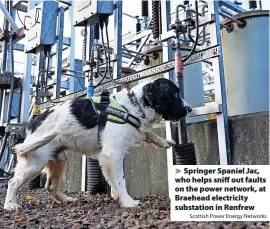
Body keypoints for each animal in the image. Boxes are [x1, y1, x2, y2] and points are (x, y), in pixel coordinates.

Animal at [3, 78, 191, 210]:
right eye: (175, 95)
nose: (189, 109)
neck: (132, 106)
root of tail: (27, 127)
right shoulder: (112, 154)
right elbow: (121, 180)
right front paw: (128, 201)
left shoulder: (110, 154)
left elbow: (146, 133)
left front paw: (164, 141)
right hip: (35, 162)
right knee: (12, 182)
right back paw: (10, 204)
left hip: (58, 159)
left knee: (50, 187)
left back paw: (66, 199)